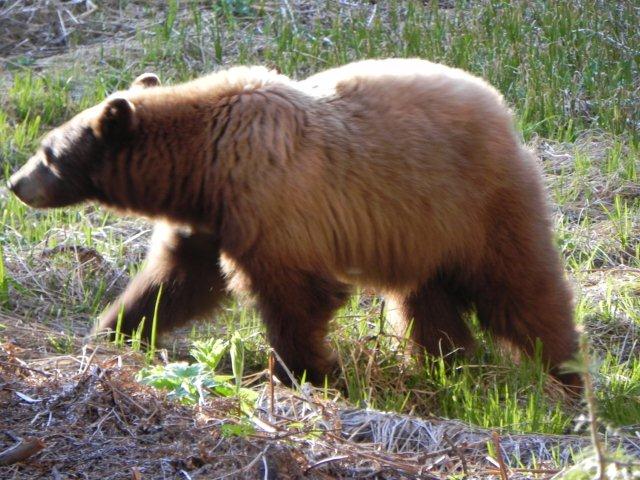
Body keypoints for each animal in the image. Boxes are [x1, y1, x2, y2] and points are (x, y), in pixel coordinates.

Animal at [8, 59, 581, 390]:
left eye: (49, 151)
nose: (15, 182)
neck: (202, 161)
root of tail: (503, 108)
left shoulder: (270, 202)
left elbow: (296, 292)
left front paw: (303, 372)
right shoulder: (212, 217)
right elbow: (177, 279)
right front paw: (113, 328)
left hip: (476, 203)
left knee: (521, 288)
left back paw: (564, 372)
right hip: (423, 233)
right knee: (426, 302)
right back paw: (450, 363)